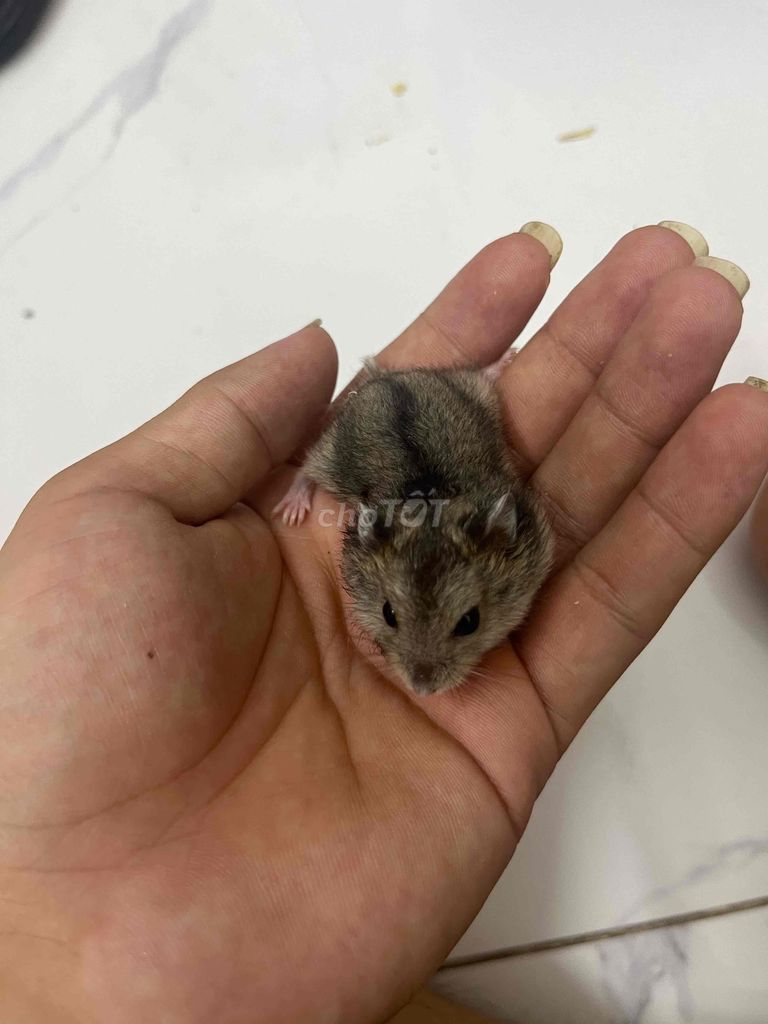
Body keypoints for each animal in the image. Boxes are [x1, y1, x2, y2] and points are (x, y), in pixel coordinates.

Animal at [273, 361, 554, 695]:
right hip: (330, 454)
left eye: (470, 622)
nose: (422, 690)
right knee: (305, 470)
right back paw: (291, 511)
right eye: (388, 614)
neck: (431, 505)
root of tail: (386, 379)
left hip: (472, 391)